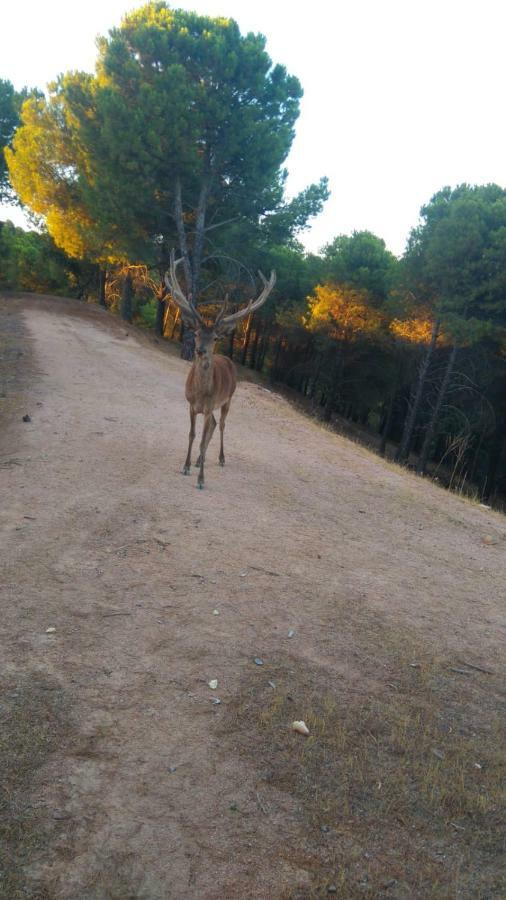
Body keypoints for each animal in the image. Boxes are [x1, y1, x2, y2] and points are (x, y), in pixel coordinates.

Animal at [165, 250, 276, 488]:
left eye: (215, 337)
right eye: (196, 333)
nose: (200, 350)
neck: (200, 393)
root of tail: (228, 360)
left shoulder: (209, 406)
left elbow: (203, 438)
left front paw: (201, 479)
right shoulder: (191, 405)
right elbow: (192, 435)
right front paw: (186, 466)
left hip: (228, 399)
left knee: (222, 424)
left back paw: (221, 458)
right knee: (214, 426)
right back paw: (199, 460)